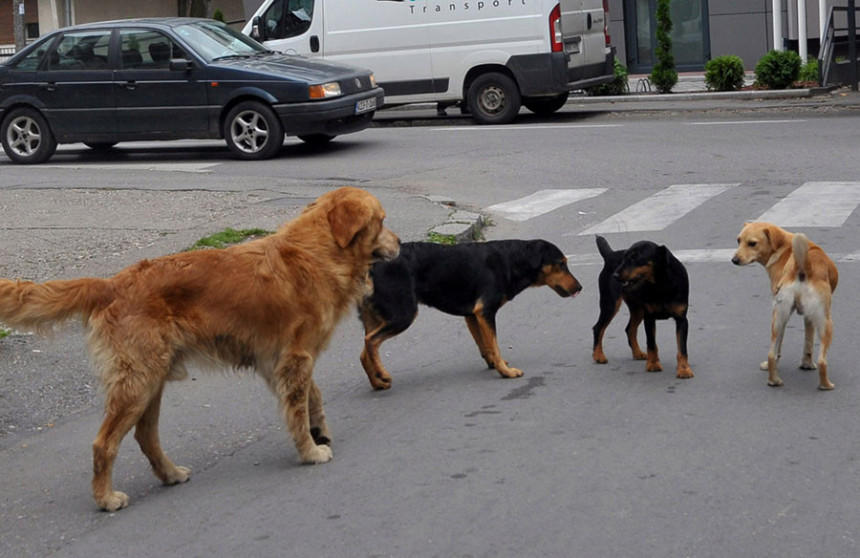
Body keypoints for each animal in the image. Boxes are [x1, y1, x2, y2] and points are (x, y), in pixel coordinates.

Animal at [0, 187, 398, 512]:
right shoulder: (295, 358)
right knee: (104, 443)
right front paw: (310, 451)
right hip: (138, 382)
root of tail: (112, 284)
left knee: (146, 436)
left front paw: (319, 431)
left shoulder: (278, 361)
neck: (318, 251)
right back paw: (105, 498)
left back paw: (170, 473)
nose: (398, 242)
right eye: (381, 221)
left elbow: (311, 397)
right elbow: (298, 410)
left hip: (151, 381)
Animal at [352, 240, 580, 390]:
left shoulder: (472, 315)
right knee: (371, 341)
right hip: (403, 314)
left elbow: (485, 345)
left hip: (377, 317)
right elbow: (494, 345)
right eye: (561, 263)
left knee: (364, 352)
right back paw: (383, 374)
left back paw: (377, 382)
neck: (512, 260)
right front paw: (505, 372)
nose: (580, 287)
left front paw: (495, 364)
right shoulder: (485, 311)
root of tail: (371, 267)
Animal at [592, 236, 692, 380]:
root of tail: (610, 255)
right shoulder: (649, 318)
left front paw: (684, 369)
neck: (661, 283)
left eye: (635, 257)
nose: (615, 275)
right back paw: (598, 355)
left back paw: (637, 353)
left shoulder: (682, 319)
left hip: (637, 309)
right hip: (610, 304)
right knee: (598, 328)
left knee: (629, 329)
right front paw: (653, 364)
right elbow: (652, 344)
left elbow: (682, 348)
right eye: (624, 257)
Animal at [732, 222, 840, 390]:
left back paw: (773, 380)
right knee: (822, 360)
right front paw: (808, 365)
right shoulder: (812, 317)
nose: (734, 260)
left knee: (772, 354)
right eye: (739, 241)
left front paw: (806, 364)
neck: (783, 248)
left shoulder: (803, 316)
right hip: (826, 321)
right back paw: (826, 385)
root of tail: (803, 267)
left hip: (778, 319)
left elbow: (804, 345)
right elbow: (808, 344)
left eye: (752, 243)